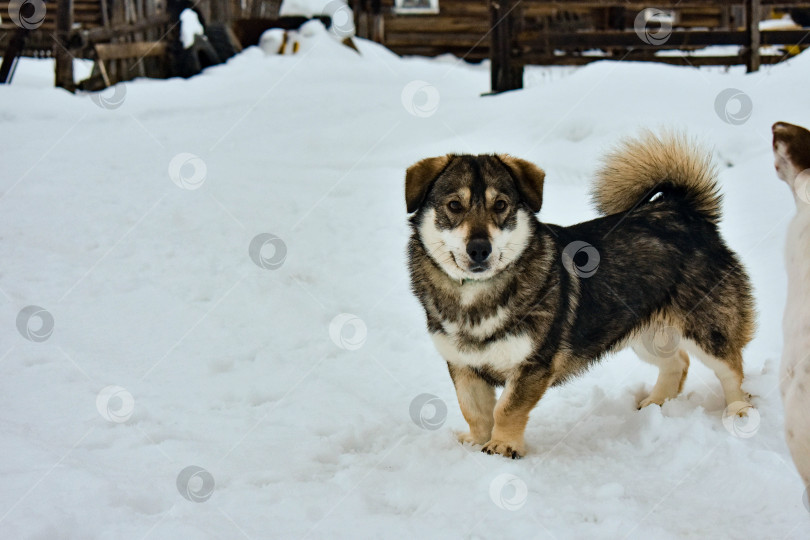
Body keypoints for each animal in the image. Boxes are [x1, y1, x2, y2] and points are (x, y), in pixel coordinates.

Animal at [408, 133, 756, 458]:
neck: (477, 296)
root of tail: (683, 210)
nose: (480, 249)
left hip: (706, 330)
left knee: (732, 369)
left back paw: (740, 414)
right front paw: (477, 442)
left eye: (501, 205)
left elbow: (506, 409)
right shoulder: (463, 365)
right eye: (454, 206)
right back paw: (656, 404)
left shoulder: (533, 365)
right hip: (645, 332)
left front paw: (504, 447)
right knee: (678, 363)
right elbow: (475, 410)